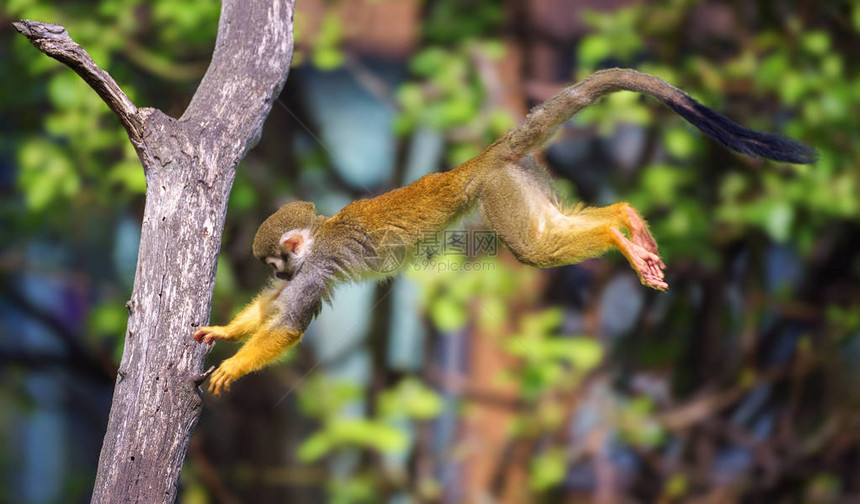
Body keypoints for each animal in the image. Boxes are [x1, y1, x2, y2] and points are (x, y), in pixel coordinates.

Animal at [191, 68, 816, 398]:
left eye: (276, 262)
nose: (277, 271)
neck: (317, 236)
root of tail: (480, 160)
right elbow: (272, 310)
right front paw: (224, 330)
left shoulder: (316, 264)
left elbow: (289, 322)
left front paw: (233, 366)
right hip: (517, 178)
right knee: (546, 232)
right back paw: (622, 219)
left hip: (495, 189)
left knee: (534, 248)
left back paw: (618, 237)